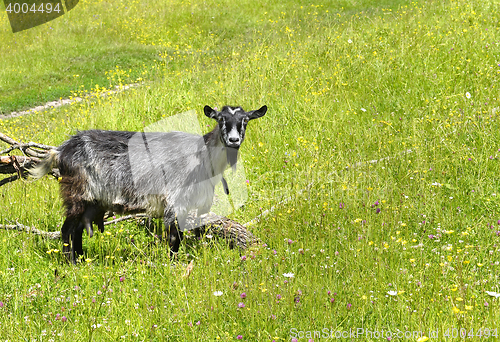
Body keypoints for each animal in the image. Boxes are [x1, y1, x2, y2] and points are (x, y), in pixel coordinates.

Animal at [29, 105, 268, 264]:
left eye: (245, 120)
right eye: (221, 120)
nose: (234, 140)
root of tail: (61, 150)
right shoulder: (175, 199)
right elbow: (174, 235)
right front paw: (174, 264)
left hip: (92, 201)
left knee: (78, 228)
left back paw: (82, 259)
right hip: (77, 193)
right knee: (67, 229)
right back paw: (70, 263)